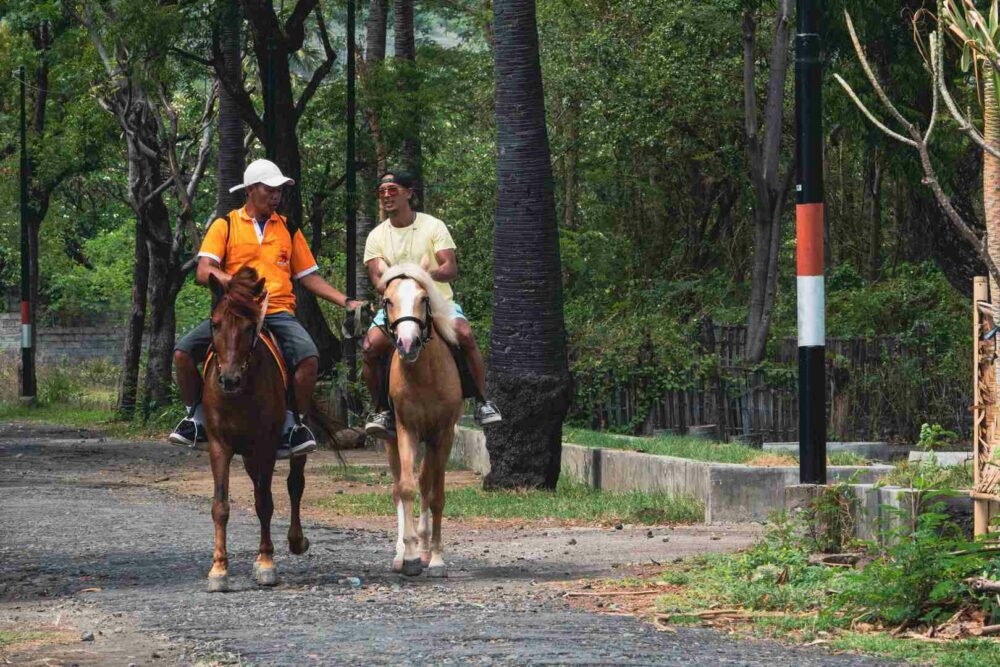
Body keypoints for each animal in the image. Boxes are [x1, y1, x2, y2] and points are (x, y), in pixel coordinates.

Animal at [201, 268, 310, 592]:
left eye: (250, 327)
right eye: (215, 323)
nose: (229, 380)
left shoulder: (265, 445)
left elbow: (264, 503)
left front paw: (265, 563)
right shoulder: (219, 445)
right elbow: (220, 506)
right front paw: (219, 569)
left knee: (295, 484)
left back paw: (297, 541)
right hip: (247, 454)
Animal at [378, 264, 464, 576]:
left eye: (424, 298)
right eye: (388, 300)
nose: (407, 344)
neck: (425, 374)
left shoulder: (443, 434)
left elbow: (436, 495)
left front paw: (436, 558)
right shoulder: (407, 430)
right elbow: (406, 487)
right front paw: (411, 556)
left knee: (427, 482)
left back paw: (427, 548)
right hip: (392, 440)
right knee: (399, 487)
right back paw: (403, 552)